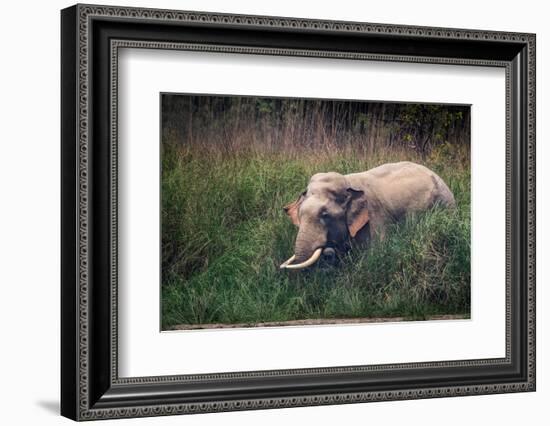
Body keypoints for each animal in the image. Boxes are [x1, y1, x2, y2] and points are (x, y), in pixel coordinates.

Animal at [280, 161, 458, 270]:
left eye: (325, 215)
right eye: (300, 214)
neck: (348, 182)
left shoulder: (374, 218)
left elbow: (373, 255)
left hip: (445, 205)